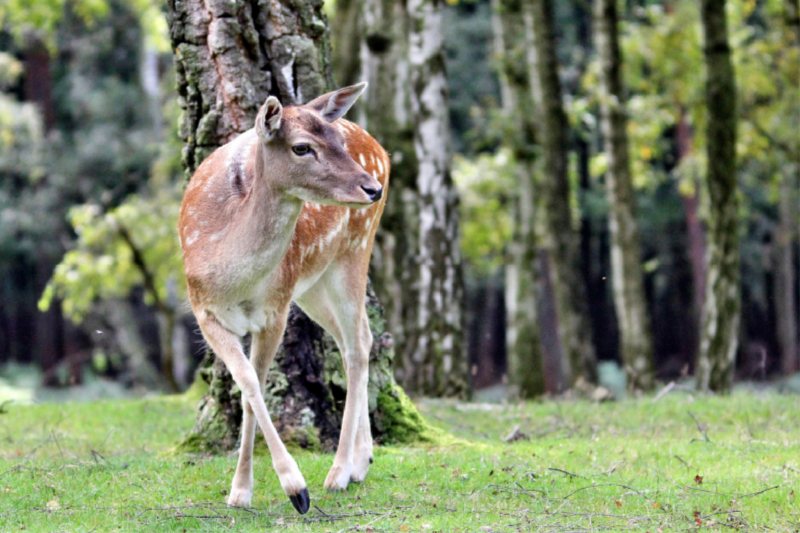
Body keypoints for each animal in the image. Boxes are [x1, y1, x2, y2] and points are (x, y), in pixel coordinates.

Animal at [177, 82, 388, 512]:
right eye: (302, 147)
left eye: (338, 140)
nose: (372, 188)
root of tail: (383, 152)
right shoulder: (205, 312)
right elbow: (248, 385)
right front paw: (242, 492)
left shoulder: (274, 311)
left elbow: (253, 387)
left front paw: (295, 489)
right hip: (312, 285)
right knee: (356, 338)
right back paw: (362, 460)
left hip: (353, 250)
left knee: (357, 342)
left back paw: (340, 472)